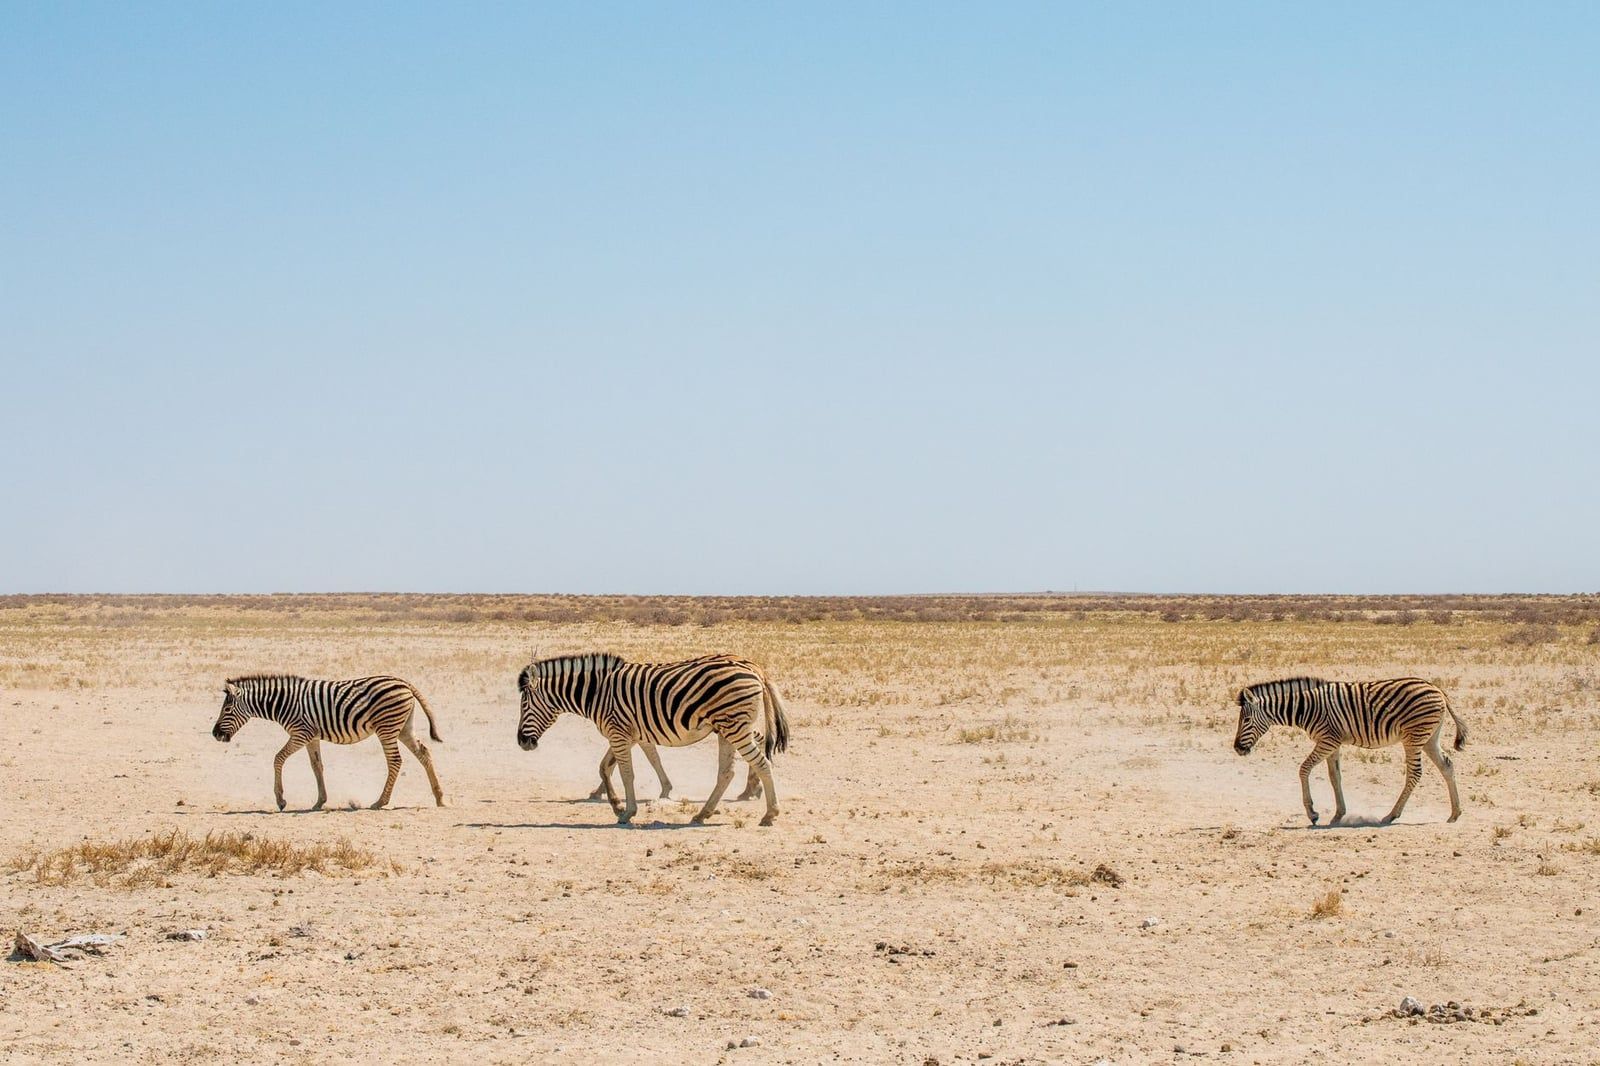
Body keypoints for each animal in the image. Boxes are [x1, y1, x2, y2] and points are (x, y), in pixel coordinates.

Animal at [211, 674, 447, 811]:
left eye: (227, 709)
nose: (215, 734)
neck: (282, 703)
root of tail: (404, 682)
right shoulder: (312, 736)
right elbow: (317, 766)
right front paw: (320, 801)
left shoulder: (301, 733)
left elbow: (278, 758)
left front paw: (280, 800)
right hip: (403, 727)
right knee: (424, 753)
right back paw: (439, 798)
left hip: (387, 727)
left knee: (395, 761)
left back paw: (381, 802)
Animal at [517, 652, 790, 826]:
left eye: (524, 705)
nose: (522, 742)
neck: (596, 693)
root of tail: (755, 668)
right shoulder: (627, 734)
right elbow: (607, 767)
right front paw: (615, 803)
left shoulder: (618, 733)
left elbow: (626, 773)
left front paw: (627, 812)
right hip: (727, 728)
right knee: (727, 772)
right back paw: (704, 813)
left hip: (734, 726)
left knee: (762, 762)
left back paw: (770, 813)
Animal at [1232, 676, 1467, 826]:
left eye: (1246, 720)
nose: (1237, 748)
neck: (1305, 708)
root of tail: (1437, 688)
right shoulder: (1333, 743)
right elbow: (1334, 776)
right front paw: (1338, 815)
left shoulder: (1327, 741)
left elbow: (1304, 769)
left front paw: (1312, 813)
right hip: (1429, 737)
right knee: (1447, 766)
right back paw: (1455, 813)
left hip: (1414, 736)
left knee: (1415, 773)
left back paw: (1391, 815)